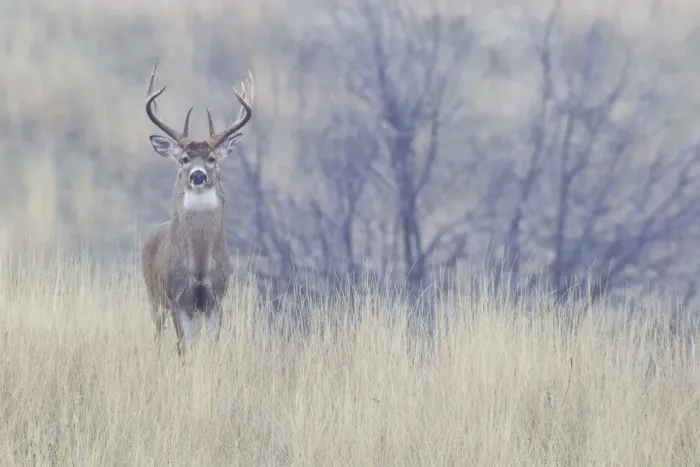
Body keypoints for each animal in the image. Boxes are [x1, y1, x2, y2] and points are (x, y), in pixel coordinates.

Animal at [140, 62, 254, 356]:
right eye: (184, 158)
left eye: (212, 158)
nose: (198, 175)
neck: (200, 268)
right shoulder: (177, 298)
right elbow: (184, 347)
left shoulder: (215, 298)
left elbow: (212, 345)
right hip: (153, 296)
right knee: (157, 334)